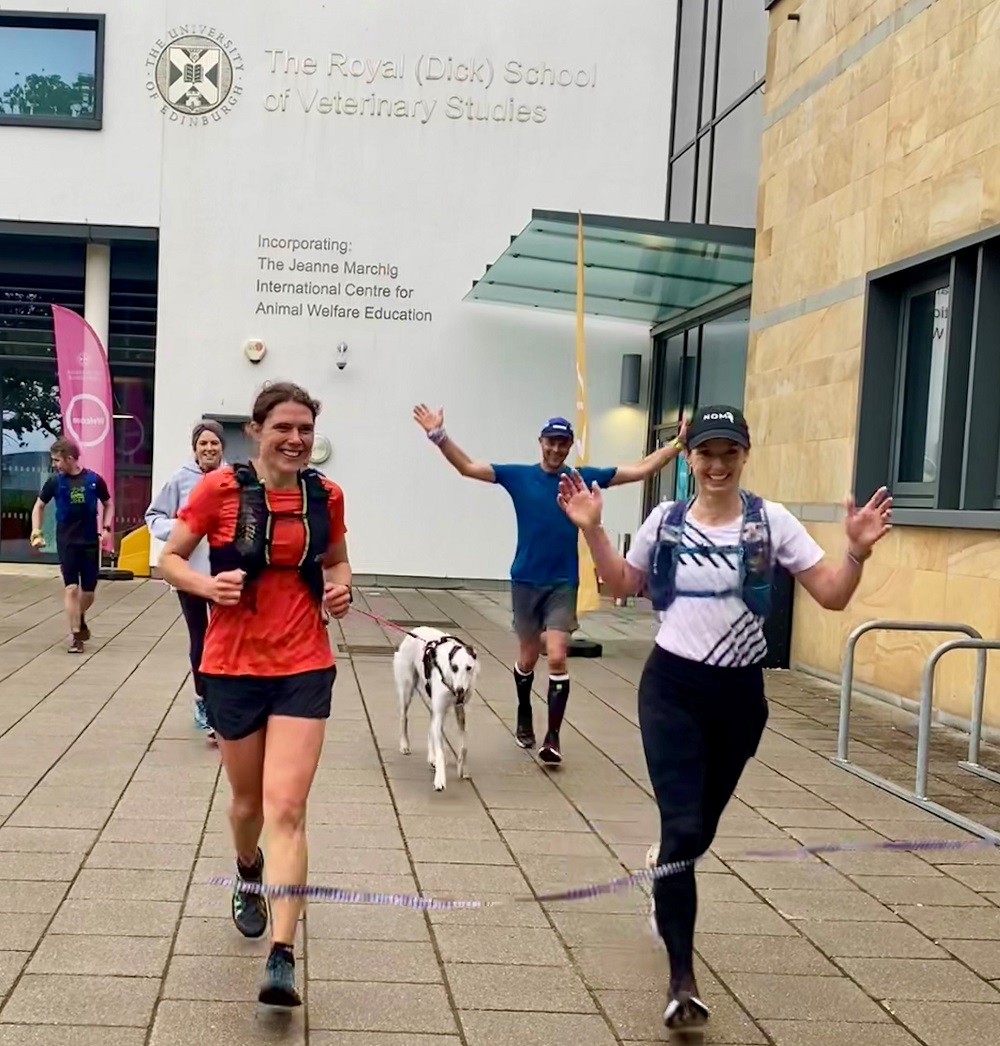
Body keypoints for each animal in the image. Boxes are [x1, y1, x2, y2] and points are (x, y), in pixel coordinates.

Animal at [395, 623, 481, 786]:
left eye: (469, 668)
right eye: (454, 667)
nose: (460, 691)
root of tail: (415, 630)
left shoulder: (460, 711)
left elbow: (464, 746)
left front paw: (462, 768)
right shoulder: (441, 710)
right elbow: (441, 752)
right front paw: (440, 779)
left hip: (435, 704)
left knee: (431, 725)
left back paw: (431, 757)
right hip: (407, 690)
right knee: (404, 717)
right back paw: (404, 745)